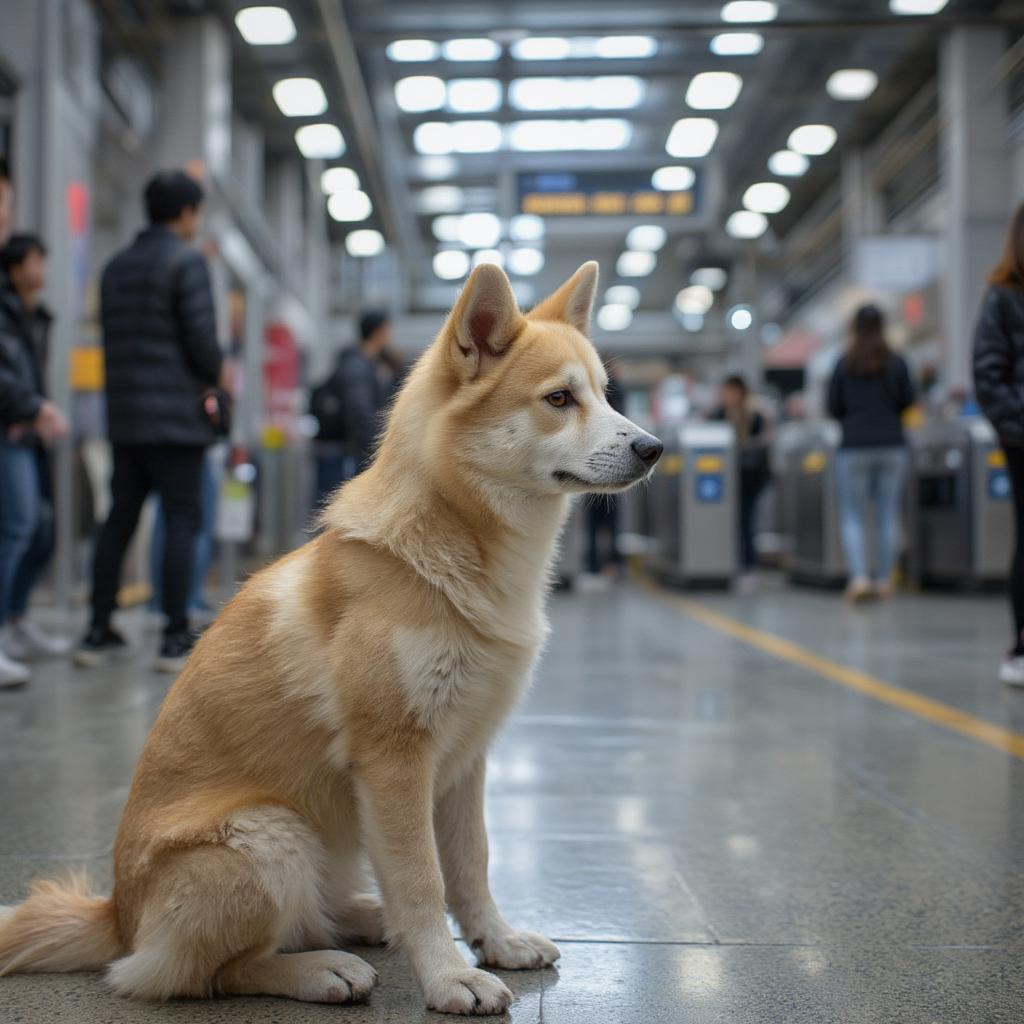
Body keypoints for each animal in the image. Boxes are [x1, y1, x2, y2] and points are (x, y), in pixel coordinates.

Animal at [0, 260, 663, 1011]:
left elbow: (471, 865)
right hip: (271, 835)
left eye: (605, 395)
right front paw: (449, 976)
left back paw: (355, 918)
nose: (654, 448)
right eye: (558, 398)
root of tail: (118, 916)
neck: (452, 550)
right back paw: (320, 969)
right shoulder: (394, 760)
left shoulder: (467, 759)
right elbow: (423, 880)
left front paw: (495, 940)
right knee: (203, 972)